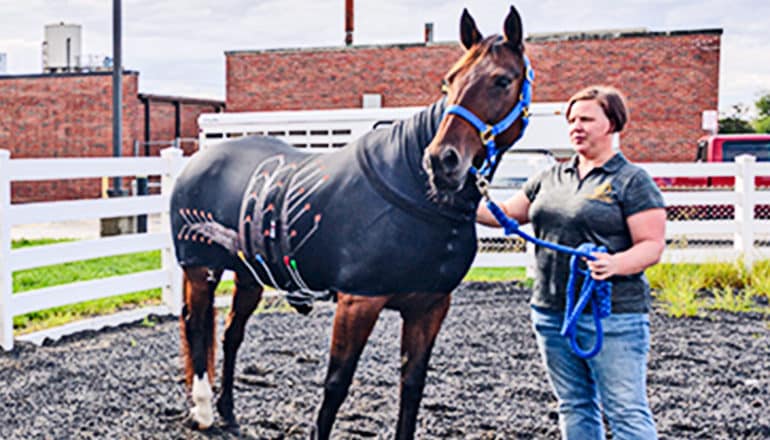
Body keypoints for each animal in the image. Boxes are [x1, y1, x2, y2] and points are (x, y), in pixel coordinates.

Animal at [170, 4, 528, 440]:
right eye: (449, 82)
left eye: (503, 80)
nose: (441, 160)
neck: (412, 188)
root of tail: (197, 162)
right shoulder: (358, 303)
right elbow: (336, 386)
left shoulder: (429, 308)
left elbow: (412, 387)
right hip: (201, 270)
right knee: (196, 326)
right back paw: (204, 411)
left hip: (249, 275)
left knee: (230, 334)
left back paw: (227, 411)